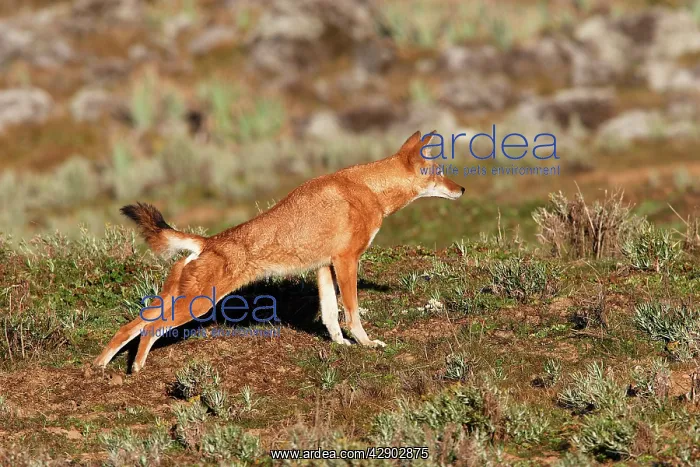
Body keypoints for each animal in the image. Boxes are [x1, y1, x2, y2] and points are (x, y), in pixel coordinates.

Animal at [93, 131, 465, 372]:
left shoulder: (323, 266)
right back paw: (137, 369)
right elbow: (351, 313)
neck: (369, 189)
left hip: (176, 300)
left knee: (129, 328)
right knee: (149, 330)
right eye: (439, 172)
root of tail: (206, 242)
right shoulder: (346, 261)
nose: (461, 189)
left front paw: (341, 346)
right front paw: (366, 344)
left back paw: (98, 367)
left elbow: (330, 317)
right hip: (195, 306)